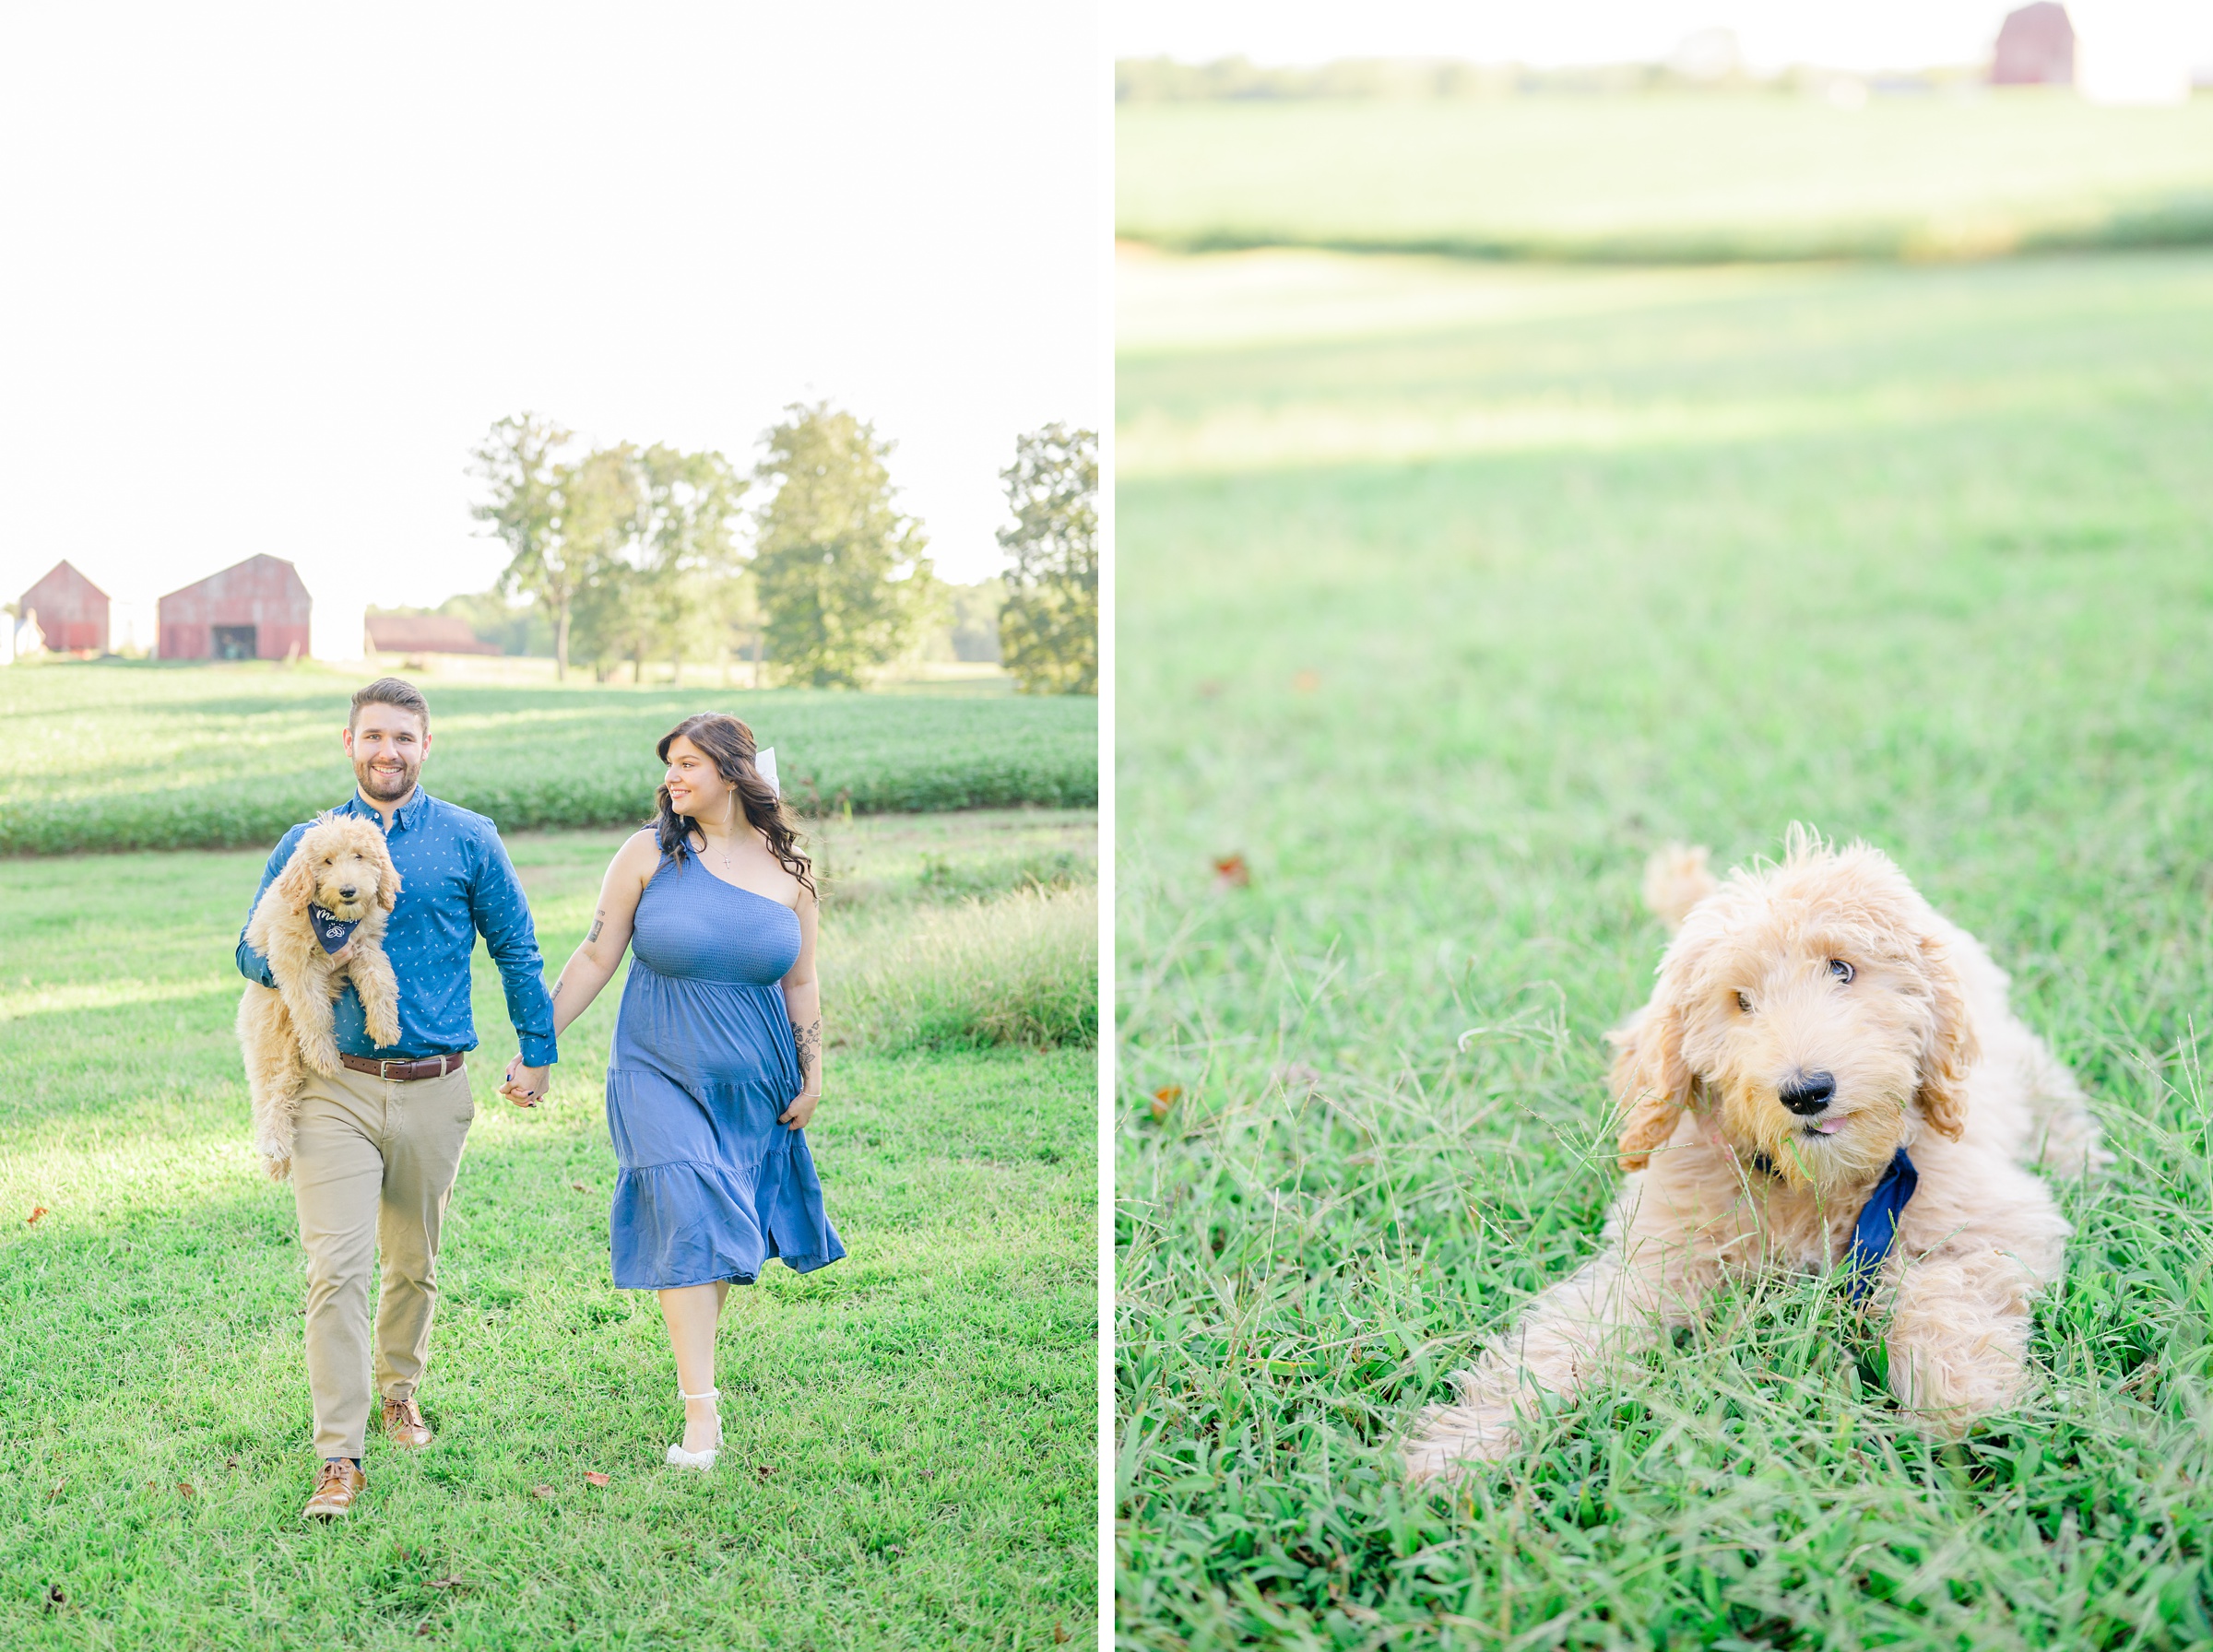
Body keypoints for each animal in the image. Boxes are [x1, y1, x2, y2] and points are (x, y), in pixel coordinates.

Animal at [238, 809, 402, 1176]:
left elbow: (380, 981)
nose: (348, 890)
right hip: (275, 1042)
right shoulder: (293, 963)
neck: (333, 922)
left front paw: (385, 1026)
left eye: (359, 856)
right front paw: (325, 1056)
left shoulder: (365, 946)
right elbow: (312, 1010)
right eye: (327, 861)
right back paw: (274, 1143)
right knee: (271, 1094)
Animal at [1407, 827, 2098, 1486]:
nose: (1807, 1091)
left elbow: (1944, 1295)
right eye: (1740, 1001)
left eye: (1842, 970)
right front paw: (1465, 1444)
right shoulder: (1655, 1256)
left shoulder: (1984, 1218)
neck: (1813, 1184)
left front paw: (1963, 1403)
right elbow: (1569, 1335)